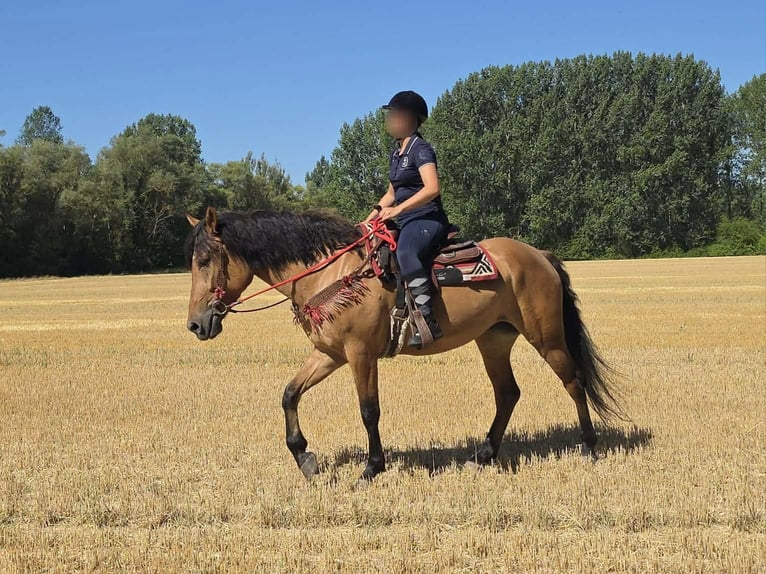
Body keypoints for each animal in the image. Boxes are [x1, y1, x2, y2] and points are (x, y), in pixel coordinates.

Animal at [184, 206, 626, 481]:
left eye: (204, 261)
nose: (195, 324)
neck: (333, 273)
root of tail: (539, 255)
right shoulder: (329, 353)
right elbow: (290, 394)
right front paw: (304, 456)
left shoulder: (360, 353)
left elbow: (369, 411)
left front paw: (372, 468)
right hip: (494, 339)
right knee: (508, 393)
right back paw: (483, 455)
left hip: (546, 336)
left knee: (573, 382)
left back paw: (588, 447)